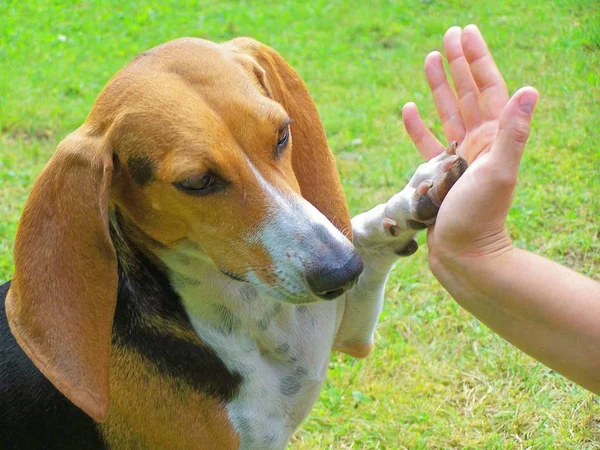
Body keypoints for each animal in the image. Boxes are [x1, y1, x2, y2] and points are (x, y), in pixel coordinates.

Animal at [0, 37, 466, 448]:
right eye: (196, 182)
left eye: (282, 134)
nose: (340, 272)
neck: (249, 314)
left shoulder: (340, 333)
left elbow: (365, 238)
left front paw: (416, 197)